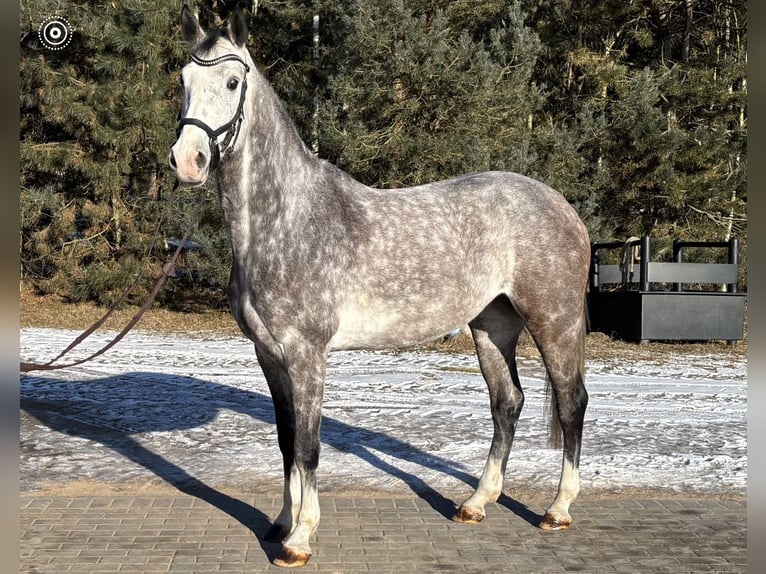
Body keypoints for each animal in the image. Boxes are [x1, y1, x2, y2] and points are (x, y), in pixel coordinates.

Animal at [169, 5, 590, 568]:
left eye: (233, 82)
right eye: (183, 81)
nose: (187, 160)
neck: (286, 221)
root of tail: (564, 208)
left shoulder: (307, 354)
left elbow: (308, 447)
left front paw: (300, 539)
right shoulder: (269, 355)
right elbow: (285, 441)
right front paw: (280, 522)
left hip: (553, 322)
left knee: (571, 403)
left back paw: (557, 509)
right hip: (492, 325)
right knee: (508, 403)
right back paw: (477, 503)